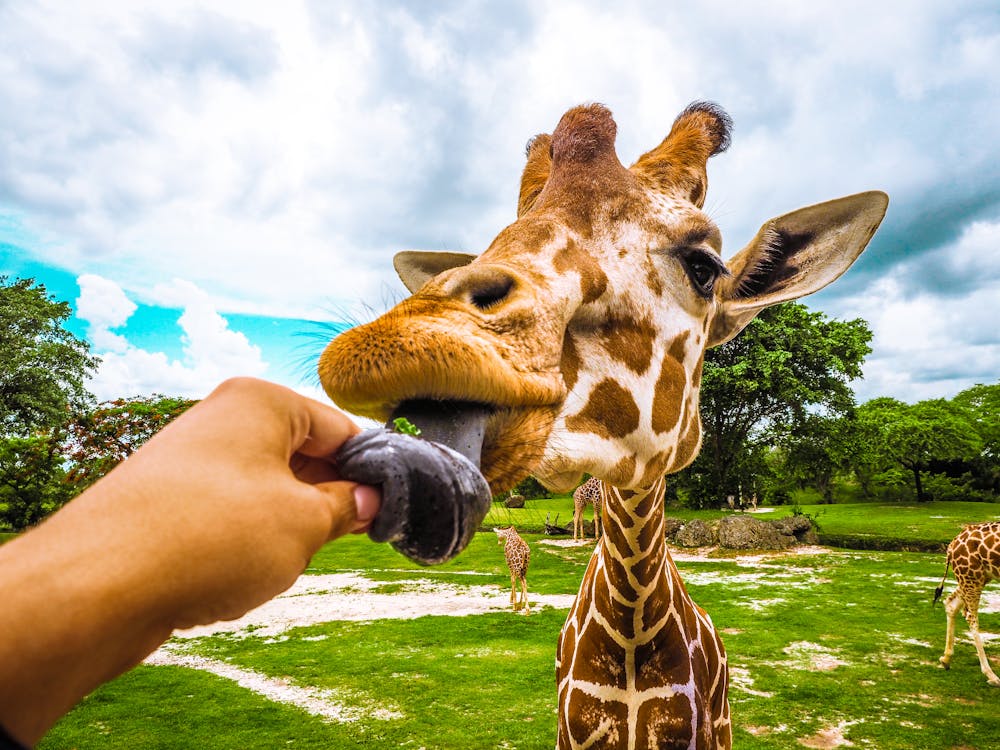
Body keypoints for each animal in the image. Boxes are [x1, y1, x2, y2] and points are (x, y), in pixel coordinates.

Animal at [934, 521, 1000, 686]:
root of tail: (951, 546)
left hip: (979, 576)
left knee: (951, 603)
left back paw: (945, 659)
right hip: (971, 575)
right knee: (971, 617)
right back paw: (992, 676)